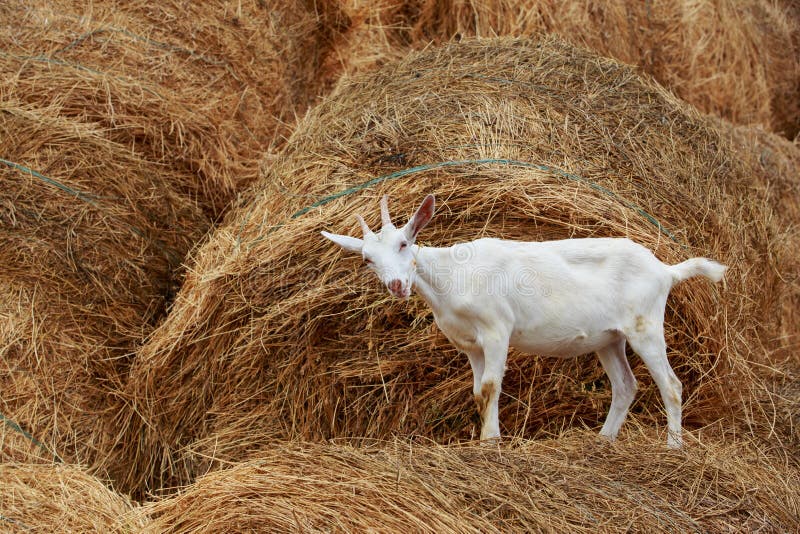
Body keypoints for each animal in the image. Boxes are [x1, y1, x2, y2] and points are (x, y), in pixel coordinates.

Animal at [322, 194, 726, 448]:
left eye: (404, 244)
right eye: (367, 260)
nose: (396, 286)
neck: (451, 277)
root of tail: (666, 271)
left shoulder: (496, 329)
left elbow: (489, 387)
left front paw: (491, 441)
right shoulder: (470, 344)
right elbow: (477, 392)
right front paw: (487, 438)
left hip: (646, 324)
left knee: (671, 385)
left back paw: (673, 447)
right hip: (610, 337)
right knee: (626, 386)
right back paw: (603, 441)